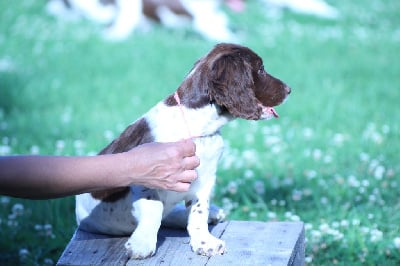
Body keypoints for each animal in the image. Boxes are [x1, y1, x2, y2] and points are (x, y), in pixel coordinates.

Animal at [76, 43, 290, 260]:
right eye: (261, 69)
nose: (289, 89)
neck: (198, 127)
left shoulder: (205, 178)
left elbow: (198, 211)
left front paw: (204, 242)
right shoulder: (146, 174)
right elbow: (154, 206)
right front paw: (142, 244)